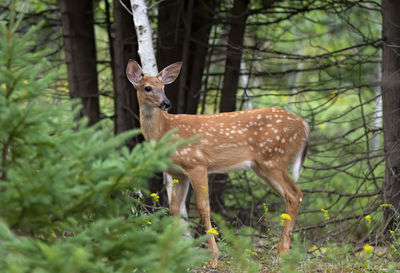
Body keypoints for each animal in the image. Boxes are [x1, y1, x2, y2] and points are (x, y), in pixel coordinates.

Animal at [125, 59, 310, 266]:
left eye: (164, 87)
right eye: (148, 87)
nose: (166, 103)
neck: (165, 131)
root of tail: (304, 125)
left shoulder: (197, 163)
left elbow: (203, 208)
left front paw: (213, 258)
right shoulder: (180, 174)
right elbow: (174, 210)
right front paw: (170, 254)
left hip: (273, 159)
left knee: (295, 194)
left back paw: (282, 254)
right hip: (262, 166)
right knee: (292, 196)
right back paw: (282, 253)